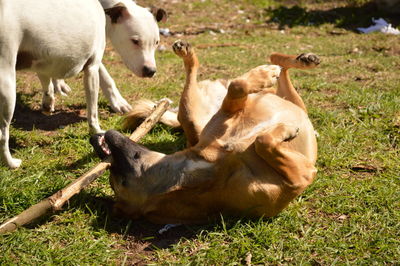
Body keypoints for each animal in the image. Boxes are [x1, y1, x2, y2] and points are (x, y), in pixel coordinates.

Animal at [0, 0, 166, 168]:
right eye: (135, 41)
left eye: (156, 42)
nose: (151, 71)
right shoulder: (92, 66)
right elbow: (94, 108)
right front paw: (102, 125)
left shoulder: (43, 58)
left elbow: (47, 79)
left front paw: (50, 97)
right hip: (7, 87)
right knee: (2, 134)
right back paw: (11, 163)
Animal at [90, 41, 318, 224]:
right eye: (119, 181)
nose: (95, 139)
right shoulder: (299, 177)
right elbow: (263, 140)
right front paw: (286, 129)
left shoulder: (228, 112)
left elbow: (237, 87)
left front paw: (263, 75)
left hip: (197, 114)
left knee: (273, 63)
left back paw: (303, 60)